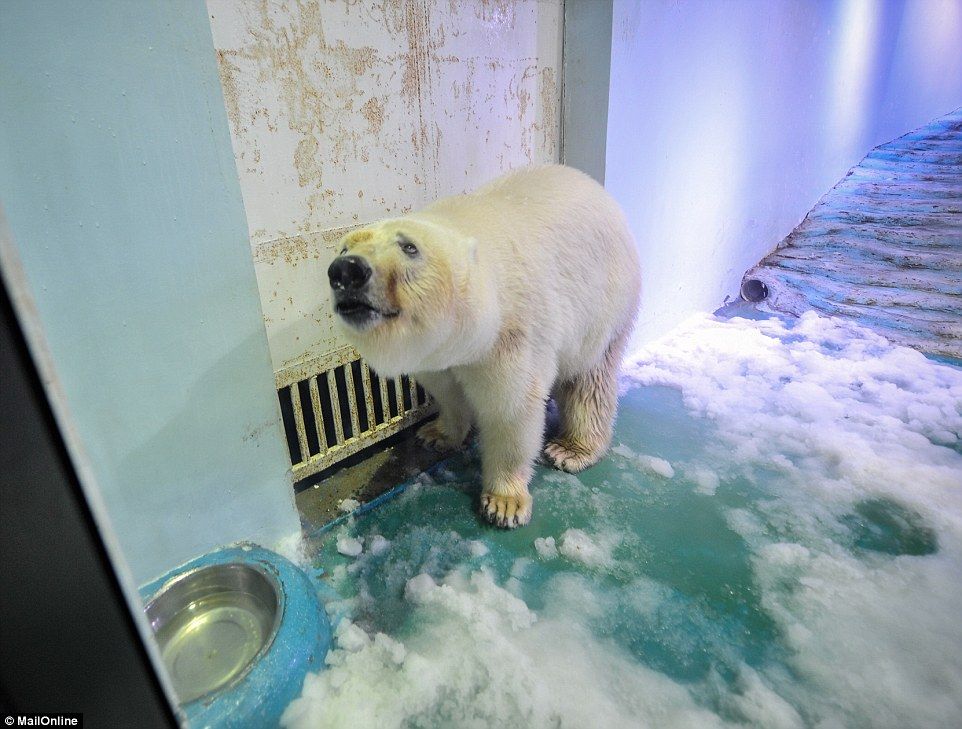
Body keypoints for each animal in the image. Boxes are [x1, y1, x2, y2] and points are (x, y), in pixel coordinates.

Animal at [328, 165, 640, 528]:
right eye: (343, 248)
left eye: (409, 247)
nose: (346, 271)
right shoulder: (439, 356)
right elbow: (447, 391)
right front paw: (436, 434)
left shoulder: (512, 335)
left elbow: (511, 410)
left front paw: (504, 502)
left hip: (603, 305)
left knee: (590, 381)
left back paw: (571, 449)